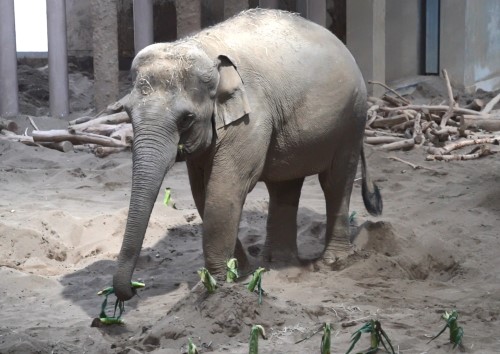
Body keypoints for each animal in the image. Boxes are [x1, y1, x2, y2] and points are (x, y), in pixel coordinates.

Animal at [113, 9, 382, 302]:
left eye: (186, 119)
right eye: (127, 112)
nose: (132, 290)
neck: (204, 48)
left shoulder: (251, 117)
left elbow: (225, 189)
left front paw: (214, 287)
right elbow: (202, 192)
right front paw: (239, 274)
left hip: (352, 119)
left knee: (336, 181)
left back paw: (332, 262)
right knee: (284, 186)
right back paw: (277, 262)